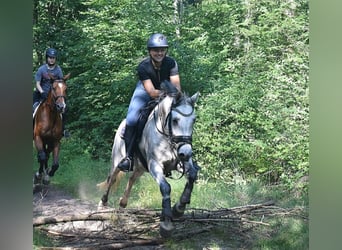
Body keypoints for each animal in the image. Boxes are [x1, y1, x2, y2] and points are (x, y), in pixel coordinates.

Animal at [97, 81, 199, 237]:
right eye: (175, 120)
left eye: (193, 120)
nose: (186, 153)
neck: (167, 137)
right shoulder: (155, 165)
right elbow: (166, 187)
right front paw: (166, 223)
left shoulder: (180, 163)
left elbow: (192, 175)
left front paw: (179, 208)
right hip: (117, 161)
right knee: (112, 178)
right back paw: (102, 204)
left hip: (140, 167)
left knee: (132, 178)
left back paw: (123, 203)